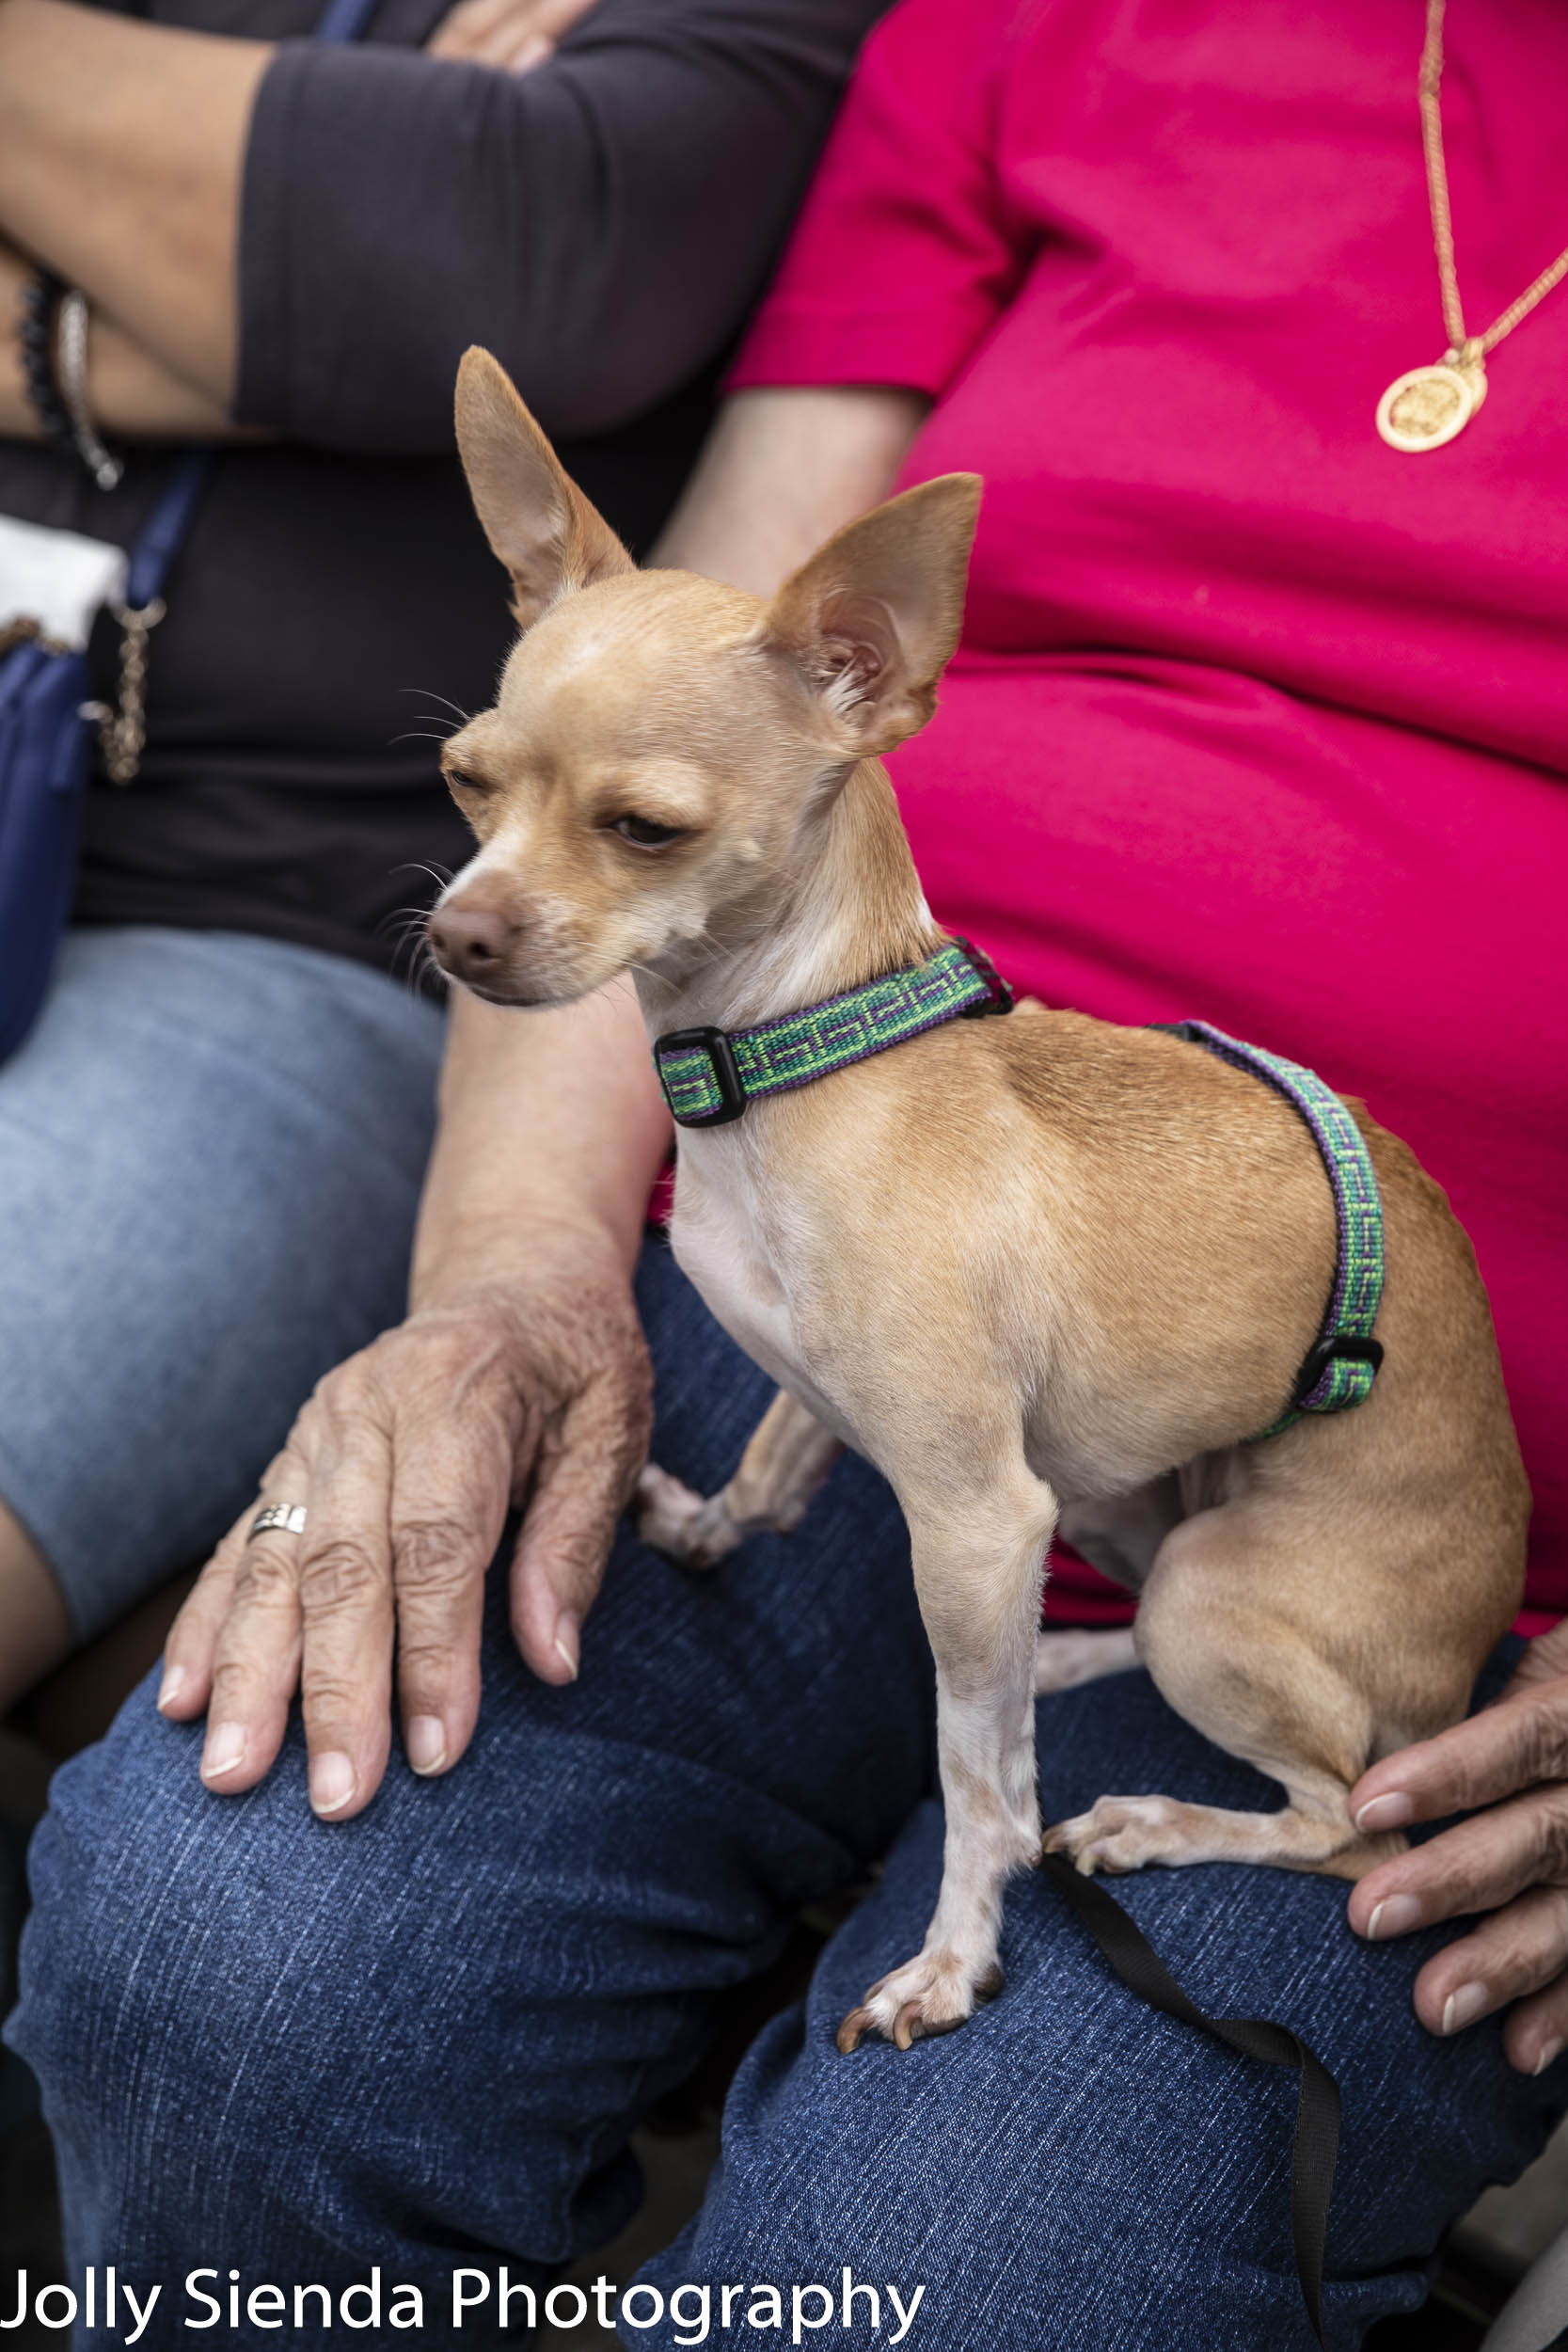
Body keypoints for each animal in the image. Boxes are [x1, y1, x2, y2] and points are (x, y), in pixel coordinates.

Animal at [425, 353, 1523, 2060]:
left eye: (645, 829)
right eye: (466, 783)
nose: (457, 935)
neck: (793, 1061)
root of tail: (1483, 1647)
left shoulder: (969, 1516)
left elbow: (971, 1786)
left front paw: (953, 1957)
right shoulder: (899, 1449)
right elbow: (775, 1475)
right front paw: (701, 1524)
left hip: (1217, 1600)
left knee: (1347, 1820)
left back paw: (1153, 1819)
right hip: (1133, 1506)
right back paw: (1071, 1654)